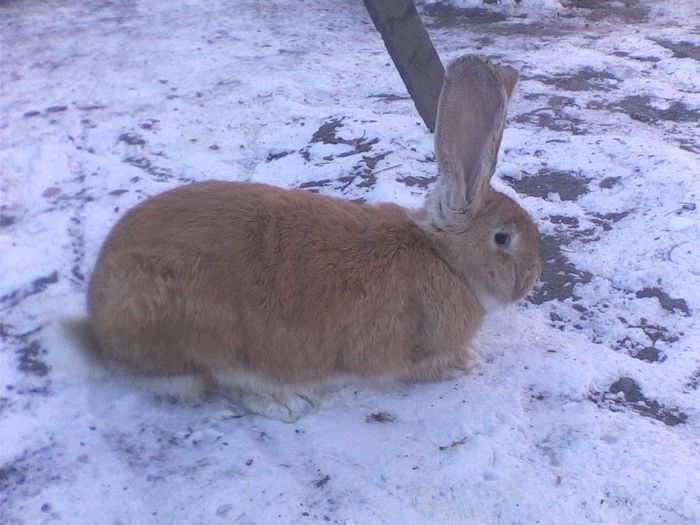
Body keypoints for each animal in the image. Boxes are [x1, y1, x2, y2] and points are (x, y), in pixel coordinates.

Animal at [87, 54, 544, 422]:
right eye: (503, 239)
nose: (532, 277)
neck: (444, 259)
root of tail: (96, 321)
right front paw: (464, 362)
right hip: (193, 330)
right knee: (215, 380)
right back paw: (286, 401)